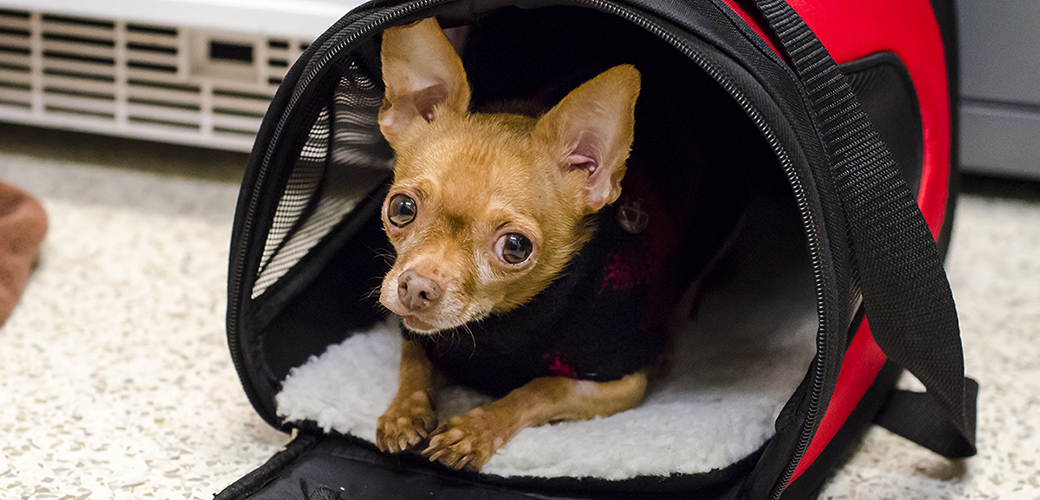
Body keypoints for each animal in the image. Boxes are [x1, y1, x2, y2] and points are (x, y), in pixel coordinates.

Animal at [378, 17, 644, 469]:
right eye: (401, 208)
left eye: (515, 248)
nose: (415, 288)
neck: (498, 325)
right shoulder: (420, 332)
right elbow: (413, 355)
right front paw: (404, 411)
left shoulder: (625, 382)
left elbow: (543, 388)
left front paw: (475, 430)